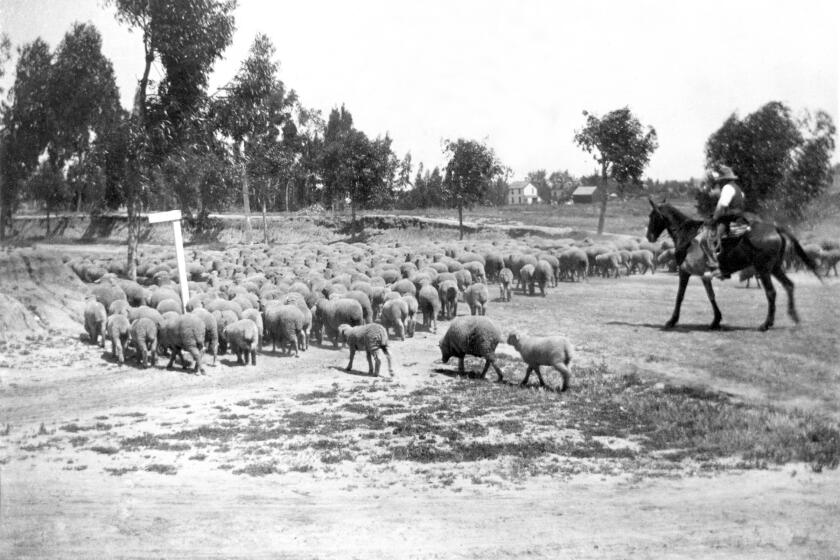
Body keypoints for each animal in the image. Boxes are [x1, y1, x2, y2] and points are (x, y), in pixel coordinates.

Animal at [648, 199, 816, 330]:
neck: (687, 236)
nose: (649, 236)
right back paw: (794, 317)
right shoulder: (704, 275)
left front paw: (671, 321)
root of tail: (775, 228)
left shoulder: (684, 272)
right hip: (775, 268)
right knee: (789, 285)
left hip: (763, 269)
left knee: (771, 292)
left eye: (652, 216)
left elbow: (680, 296)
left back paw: (766, 324)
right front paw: (716, 320)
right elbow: (711, 295)